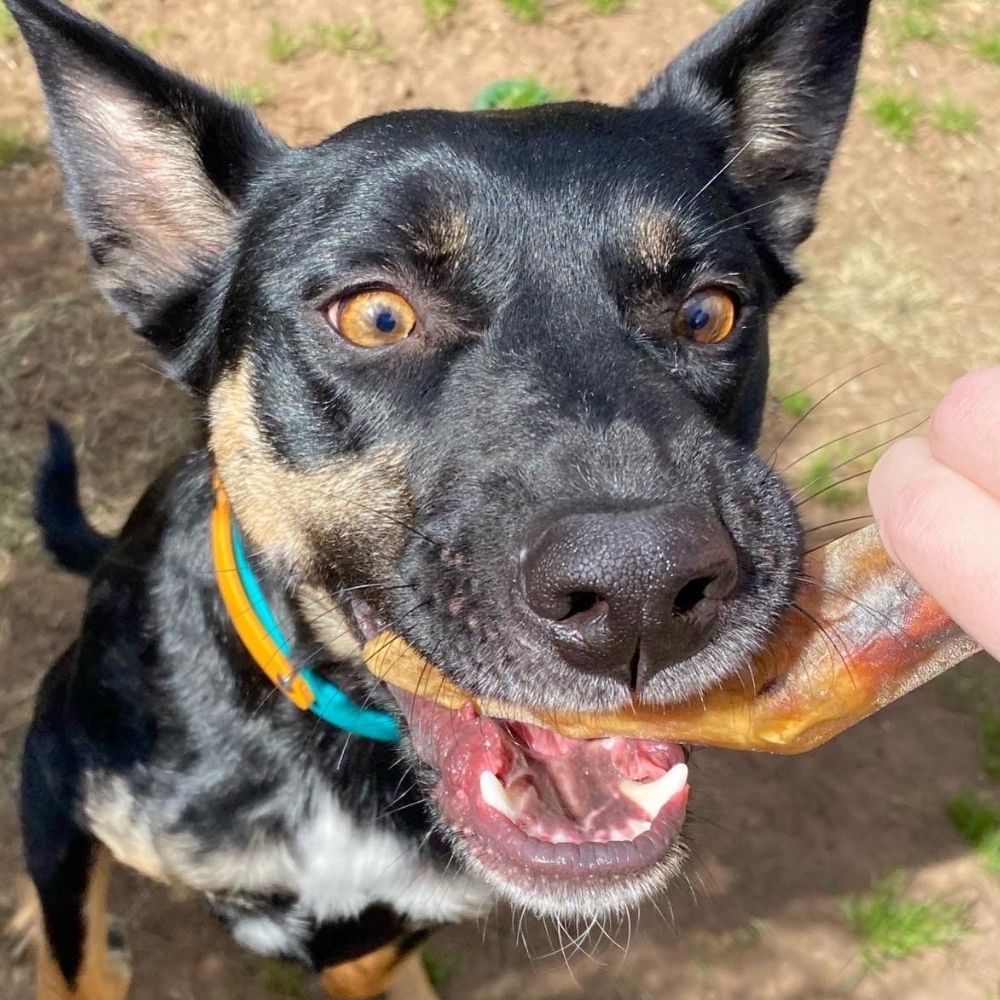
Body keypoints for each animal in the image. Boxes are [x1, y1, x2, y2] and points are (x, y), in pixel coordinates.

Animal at [5, 0, 868, 996]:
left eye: (709, 312)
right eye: (376, 316)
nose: (643, 592)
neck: (339, 740)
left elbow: (367, 957)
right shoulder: (58, 779)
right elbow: (76, 965)